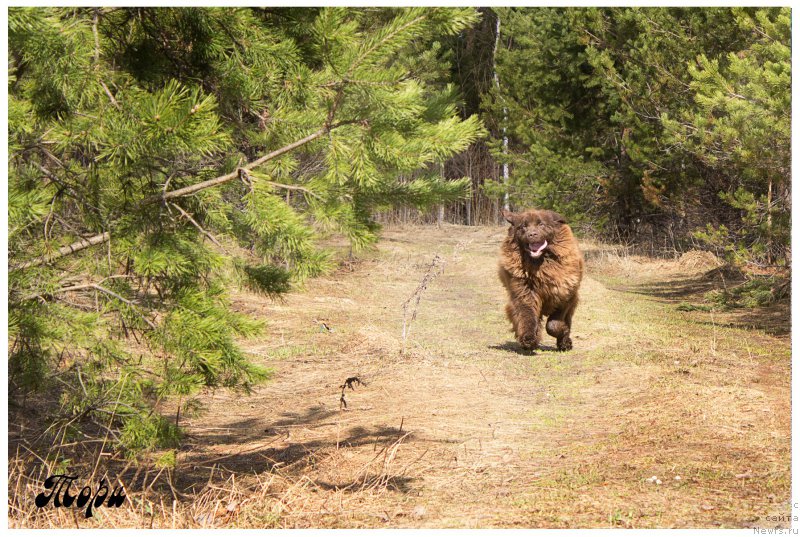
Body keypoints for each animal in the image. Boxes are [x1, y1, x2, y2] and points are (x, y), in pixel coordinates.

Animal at [500, 208, 580, 352]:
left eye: (541, 224)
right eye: (523, 226)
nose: (532, 234)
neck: (541, 266)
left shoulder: (565, 297)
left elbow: (554, 324)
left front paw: (564, 333)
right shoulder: (524, 293)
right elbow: (527, 316)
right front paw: (529, 339)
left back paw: (565, 343)